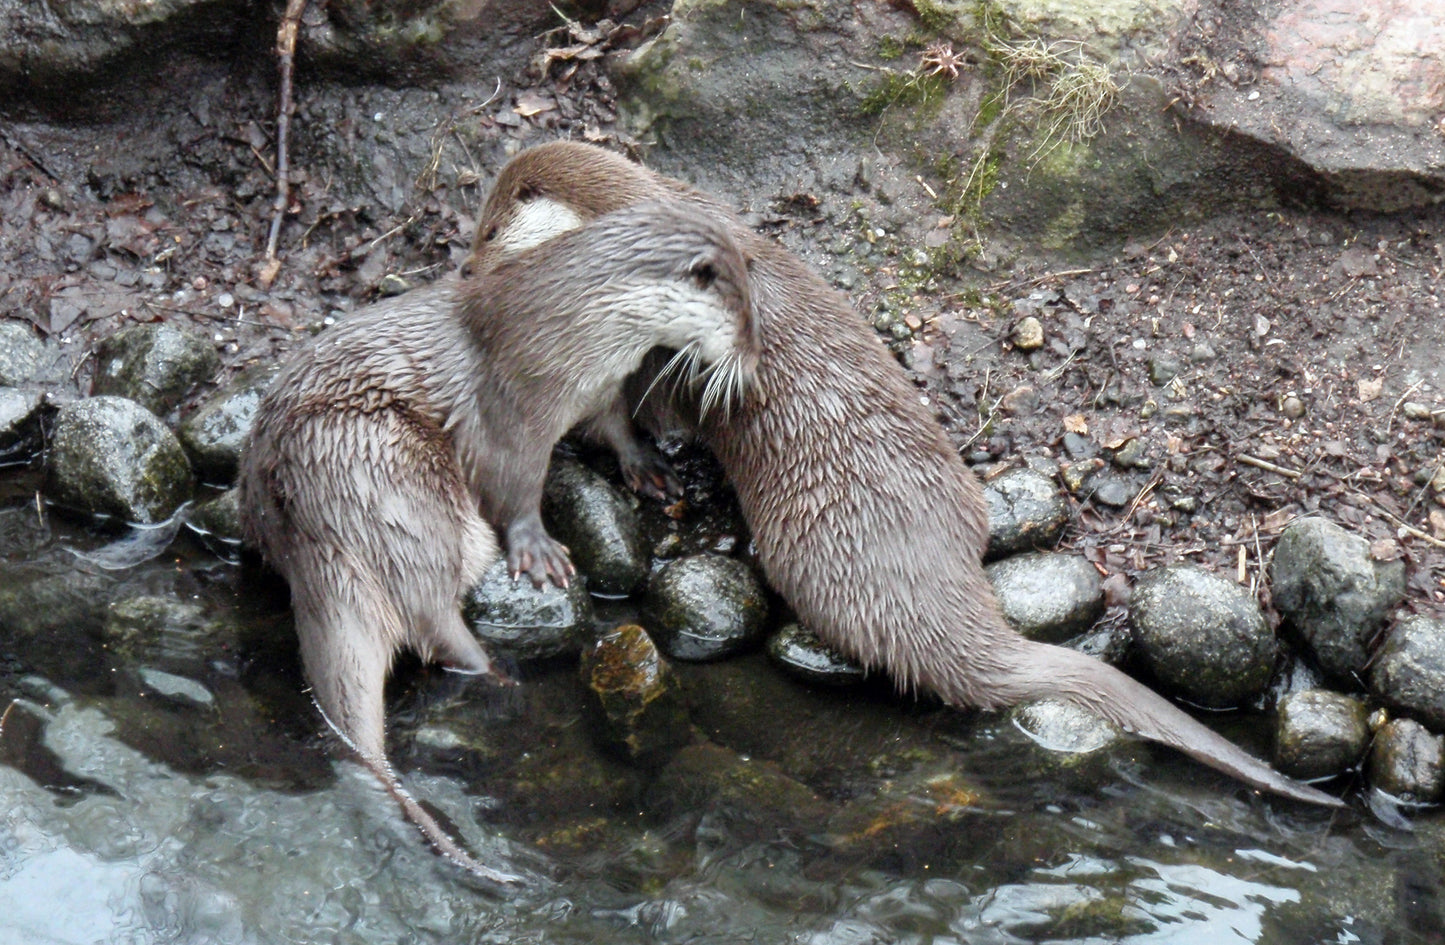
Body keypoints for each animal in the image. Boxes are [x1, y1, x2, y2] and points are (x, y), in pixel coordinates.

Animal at [238, 200, 758, 881]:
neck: (573, 333)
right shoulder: (510, 412)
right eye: (743, 318)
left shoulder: (600, 386)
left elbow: (615, 424)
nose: (756, 361)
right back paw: (500, 676)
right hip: (392, 471)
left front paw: (647, 465)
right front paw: (538, 549)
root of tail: (312, 524)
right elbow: (511, 486)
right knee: (432, 618)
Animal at [462, 141, 1342, 809]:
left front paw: (647, 464)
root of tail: (919, 575)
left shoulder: (636, 350)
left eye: (491, 228)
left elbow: (617, 415)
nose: (466, 273)